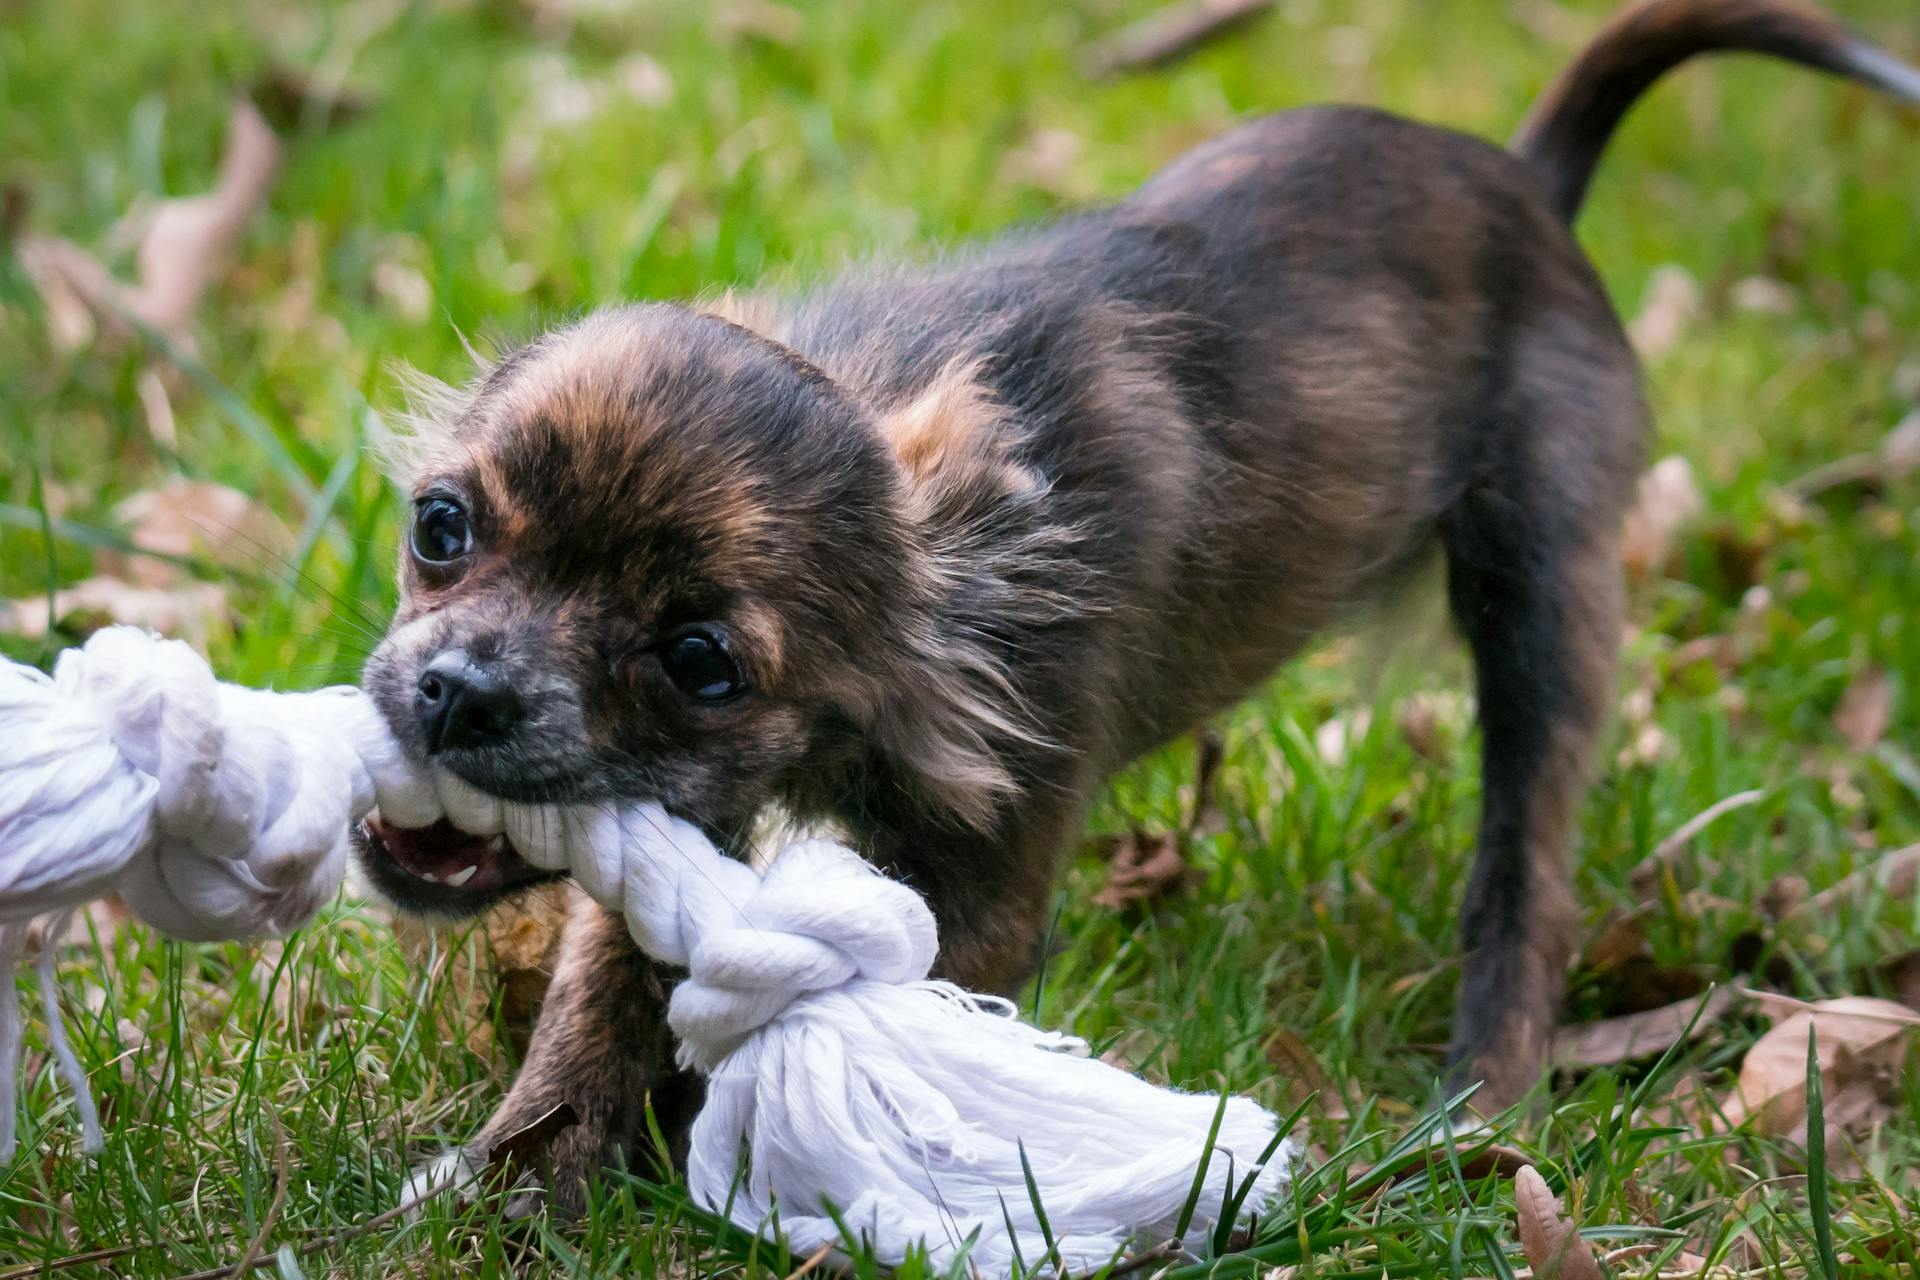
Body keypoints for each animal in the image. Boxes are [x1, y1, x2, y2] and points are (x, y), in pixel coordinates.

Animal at [360, 0, 1920, 1212]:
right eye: (441, 527)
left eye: (700, 661)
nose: (458, 691)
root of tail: (1530, 185)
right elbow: (599, 992)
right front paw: (521, 1184)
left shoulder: (984, 882)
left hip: (1545, 596)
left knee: (1523, 873)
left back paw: (1479, 1100)